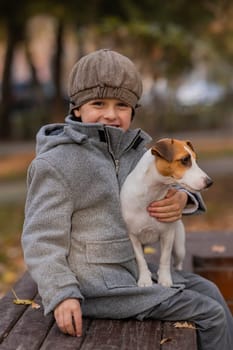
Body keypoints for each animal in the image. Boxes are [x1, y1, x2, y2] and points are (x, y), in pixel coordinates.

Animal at [120, 138, 213, 288]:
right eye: (185, 160)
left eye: (195, 159)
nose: (210, 182)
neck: (152, 195)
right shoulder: (132, 237)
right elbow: (140, 260)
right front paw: (144, 279)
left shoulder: (167, 235)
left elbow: (164, 258)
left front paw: (164, 279)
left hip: (179, 247)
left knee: (177, 262)